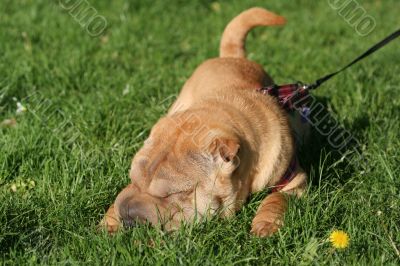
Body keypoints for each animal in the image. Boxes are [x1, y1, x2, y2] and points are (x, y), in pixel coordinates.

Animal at [101, 7, 308, 237]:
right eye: (133, 179)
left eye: (171, 194)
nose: (128, 216)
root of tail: (231, 56)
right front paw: (110, 220)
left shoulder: (295, 182)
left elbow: (277, 198)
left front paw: (266, 225)